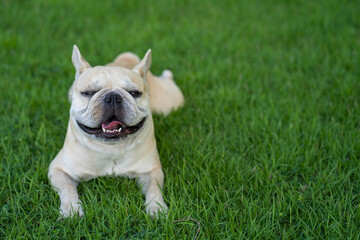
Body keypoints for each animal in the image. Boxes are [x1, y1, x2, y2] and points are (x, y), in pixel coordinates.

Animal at [47, 45, 184, 218]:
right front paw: (71, 209)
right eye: (88, 92)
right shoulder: (58, 170)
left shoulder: (152, 171)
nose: (112, 97)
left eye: (134, 93)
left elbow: (154, 189)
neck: (110, 149)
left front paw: (156, 208)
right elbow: (67, 189)